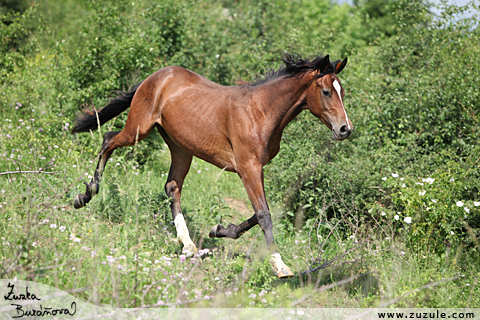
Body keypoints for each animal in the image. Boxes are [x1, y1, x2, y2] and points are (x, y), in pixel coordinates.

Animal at [73, 52, 354, 278]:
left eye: (342, 92)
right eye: (326, 92)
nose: (345, 129)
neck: (261, 112)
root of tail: (154, 77)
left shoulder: (257, 168)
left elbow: (258, 213)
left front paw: (218, 230)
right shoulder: (248, 168)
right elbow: (264, 215)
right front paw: (280, 266)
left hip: (180, 148)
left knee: (172, 187)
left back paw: (188, 244)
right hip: (139, 129)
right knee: (108, 140)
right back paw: (84, 196)